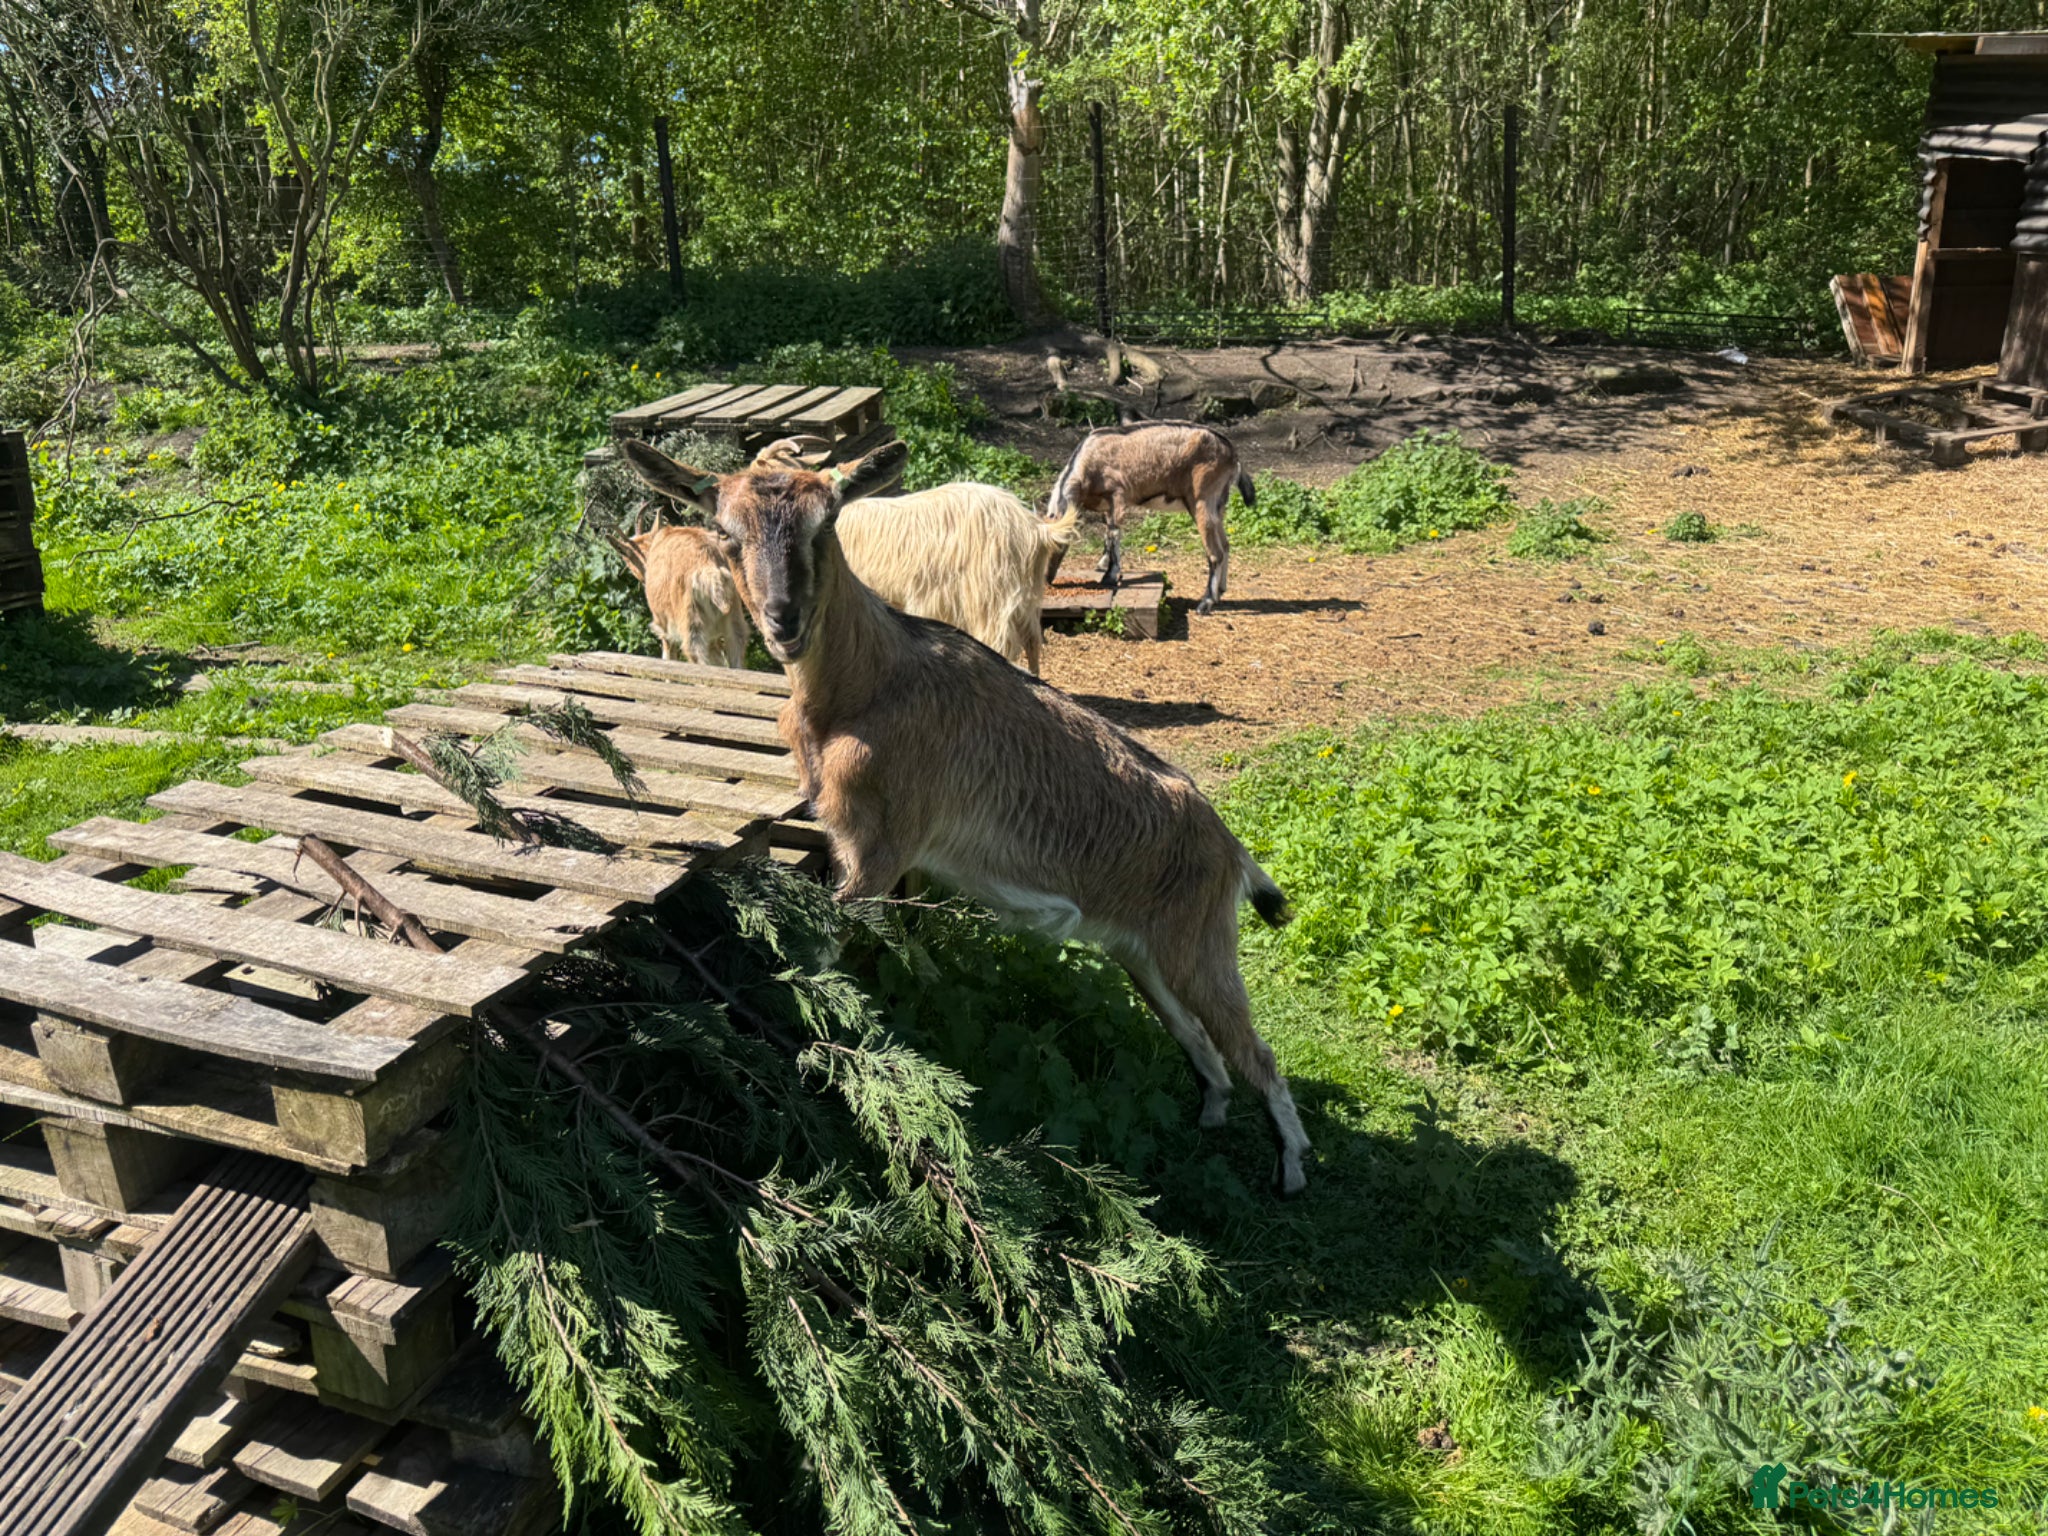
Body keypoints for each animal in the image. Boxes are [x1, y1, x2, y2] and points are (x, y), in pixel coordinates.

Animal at [607, 524, 750, 668]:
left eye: (625, 556)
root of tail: (709, 568)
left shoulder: (663, 625)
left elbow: (668, 656)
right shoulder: (712, 639)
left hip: (691, 622)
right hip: (734, 617)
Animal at [1045, 421, 1253, 613]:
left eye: (1056, 545)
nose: (1047, 579)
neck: (1088, 463)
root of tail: (1231, 453)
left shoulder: (1117, 496)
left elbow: (1114, 535)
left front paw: (1110, 576)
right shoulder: (1106, 507)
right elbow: (1107, 534)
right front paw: (1102, 565)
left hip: (1202, 501)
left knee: (1215, 553)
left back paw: (1206, 603)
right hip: (1217, 506)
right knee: (1225, 545)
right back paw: (1220, 592)